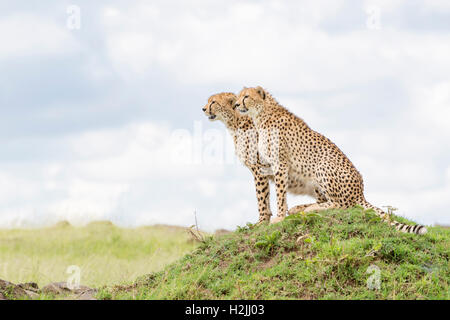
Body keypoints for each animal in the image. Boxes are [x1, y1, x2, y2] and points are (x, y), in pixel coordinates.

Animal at [203, 92, 326, 222]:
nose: (203, 109)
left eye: (213, 102)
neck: (236, 121)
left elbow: (261, 195)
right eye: (209, 101)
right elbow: (266, 195)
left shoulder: (259, 168)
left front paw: (262, 220)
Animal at [236, 85, 428, 235]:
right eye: (238, 96)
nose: (237, 104)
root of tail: (361, 192)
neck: (262, 113)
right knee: (327, 201)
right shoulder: (268, 165)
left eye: (246, 96)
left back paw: (309, 208)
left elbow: (280, 193)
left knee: (341, 205)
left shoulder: (280, 164)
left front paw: (279, 217)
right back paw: (301, 208)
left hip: (322, 165)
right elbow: (268, 193)